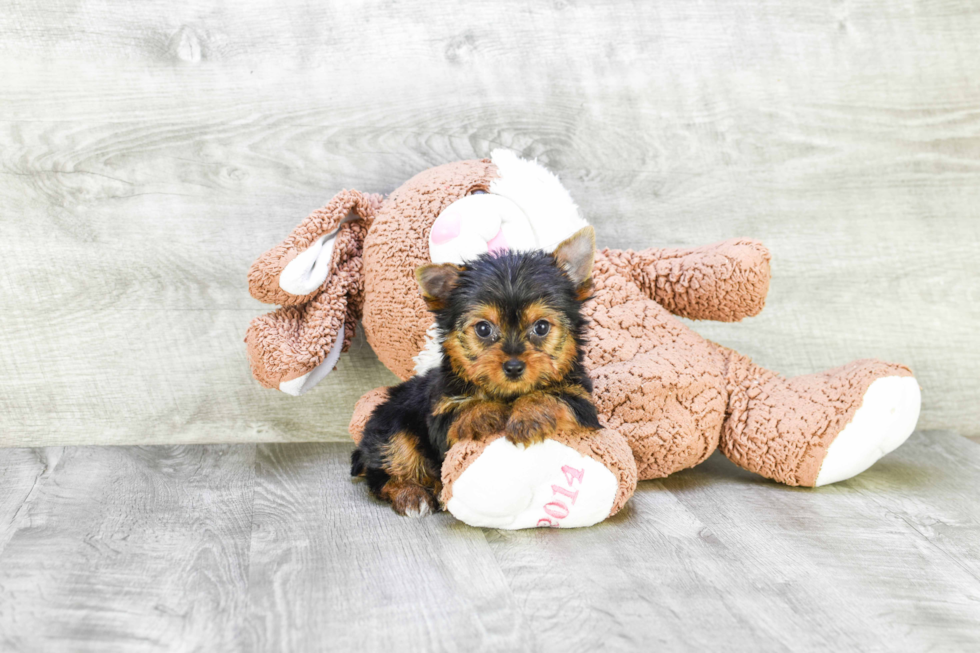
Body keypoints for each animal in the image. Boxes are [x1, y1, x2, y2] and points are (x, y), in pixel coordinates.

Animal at [348, 227, 600, 516]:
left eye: (542, 327)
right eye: (483, 329)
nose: (514, 366)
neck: (507, 394)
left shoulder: (581, 400)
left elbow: (551, 397)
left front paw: (527, 417)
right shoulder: (441, 410)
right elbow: (462, 411)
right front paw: (488, 412)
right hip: (389, 422)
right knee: (388, 466)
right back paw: (411, 495)